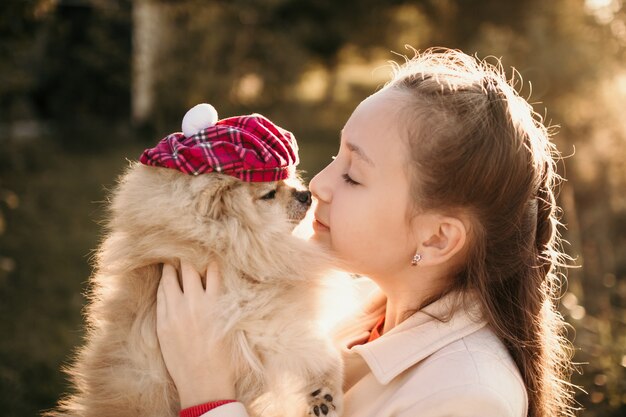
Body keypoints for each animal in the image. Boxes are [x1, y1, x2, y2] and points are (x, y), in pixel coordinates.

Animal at [45, 162, 342, 416]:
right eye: (270, 194)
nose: (305, 194)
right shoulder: (257, 320)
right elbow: (317, 352)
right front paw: (326, 392)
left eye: (288, 181)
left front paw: (322, 395)